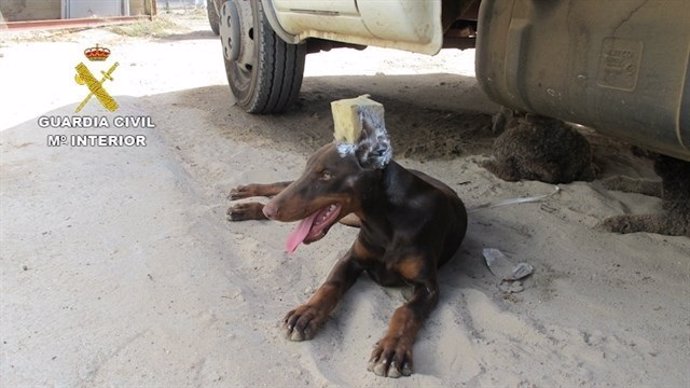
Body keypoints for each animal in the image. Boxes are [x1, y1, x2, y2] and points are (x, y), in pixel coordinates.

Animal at [226, 108, 468, 376]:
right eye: (308, 168)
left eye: (327, 175)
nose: (271, 211)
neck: (386, 220)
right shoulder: (351, 259)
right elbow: (330, 285)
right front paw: (306, 313)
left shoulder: (428, 286)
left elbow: (405, 311)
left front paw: (392, 349)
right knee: (282, 185)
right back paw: (247, 198)